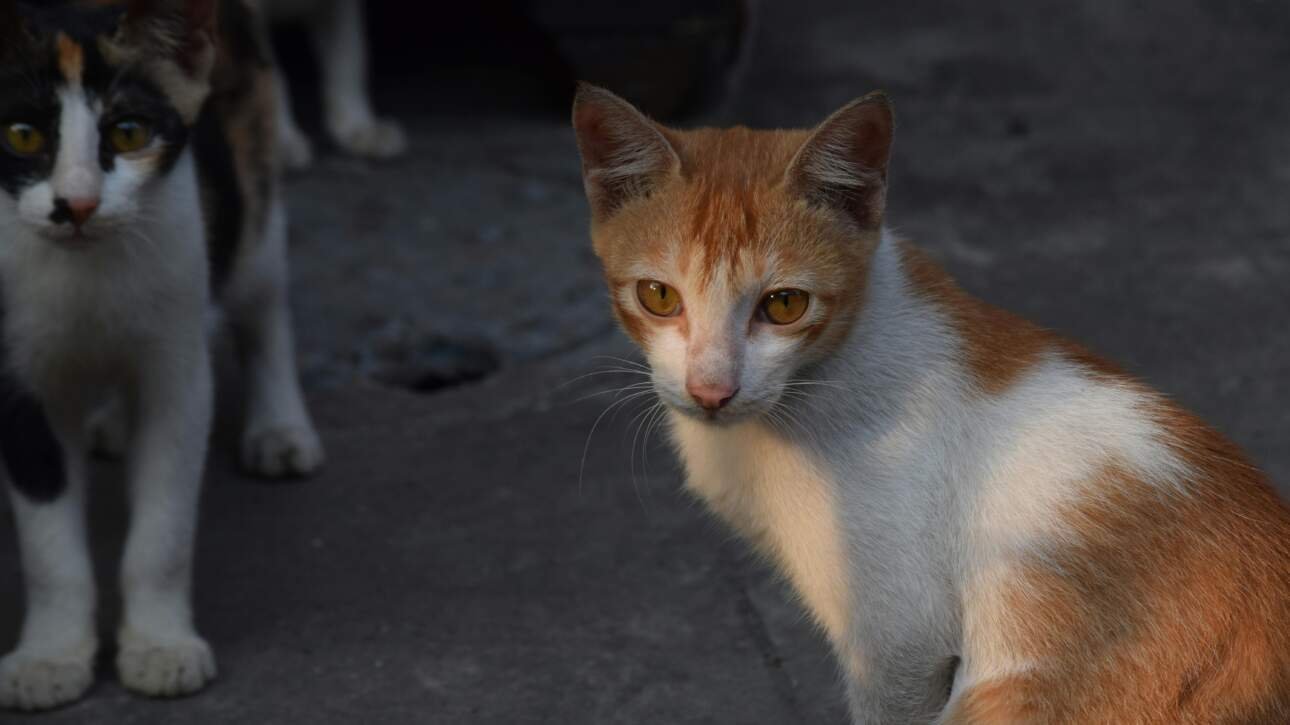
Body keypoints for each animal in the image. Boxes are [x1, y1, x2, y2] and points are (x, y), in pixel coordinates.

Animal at [0, 0, 322, 706]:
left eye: (128, 133)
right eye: (22, 136)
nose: (77, 205)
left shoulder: (179, 369)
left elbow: (164, 526)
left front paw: (159, 645)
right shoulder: (15, 378)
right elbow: (46, 540)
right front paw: (50, 655)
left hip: (245, 168)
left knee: (263, 293)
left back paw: (279, 427)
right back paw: (114, 422)